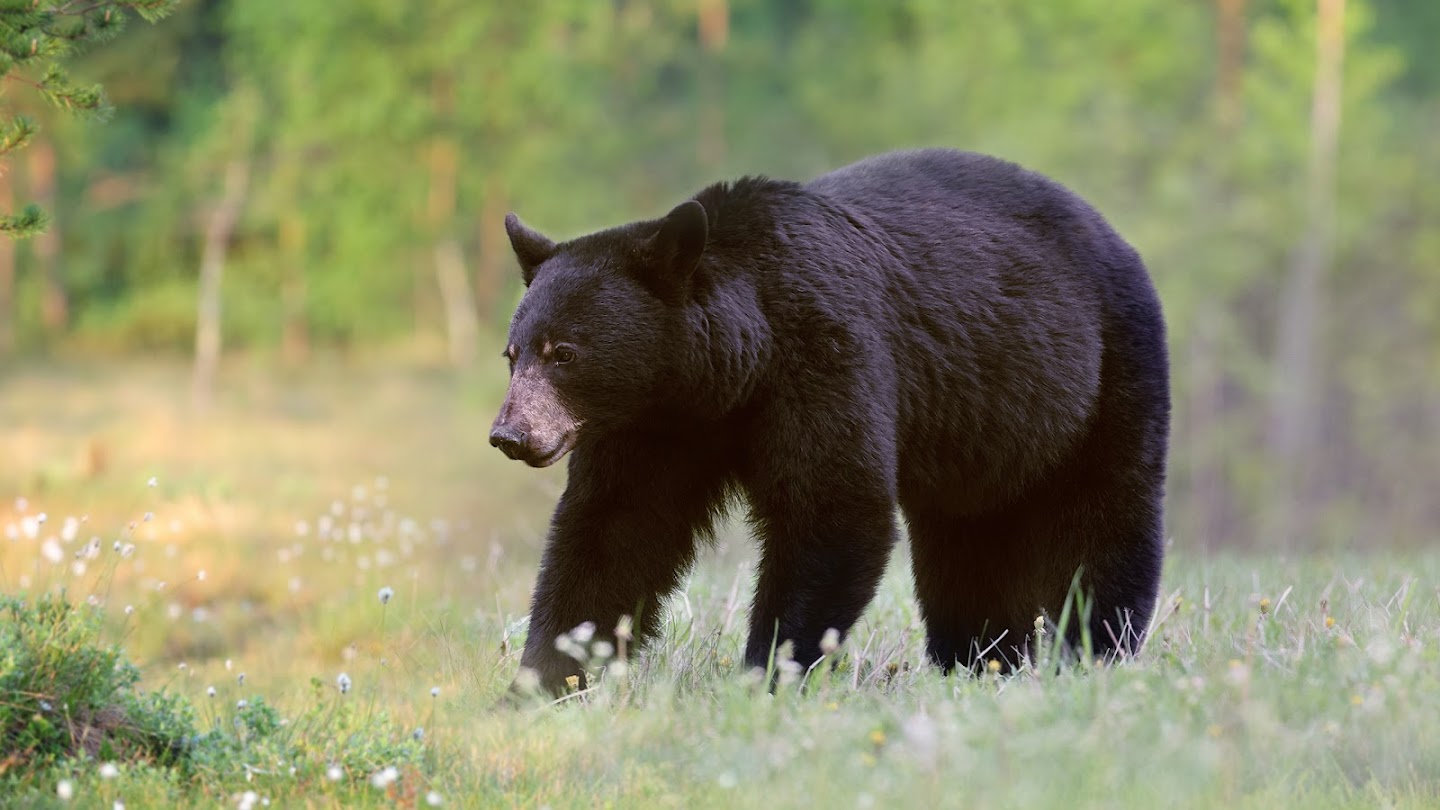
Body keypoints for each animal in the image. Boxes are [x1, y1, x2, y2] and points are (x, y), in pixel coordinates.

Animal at [495, 148, 1169, 691]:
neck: (731, 369)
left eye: (564, 353)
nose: (510, 434)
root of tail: (1106, 228)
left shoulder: (824, 356)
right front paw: (547, 680)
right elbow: (614, 531)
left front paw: (766, 673)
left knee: (1103, 516)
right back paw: (981, 659)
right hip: (986, 431)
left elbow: (833, 508)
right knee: (970, 543)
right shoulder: (652, 428)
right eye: (513, 353)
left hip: (1102, 371)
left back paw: (1093, 650)